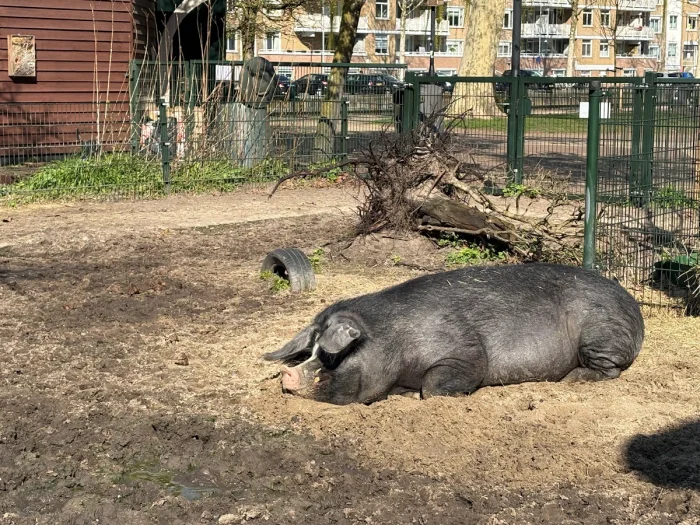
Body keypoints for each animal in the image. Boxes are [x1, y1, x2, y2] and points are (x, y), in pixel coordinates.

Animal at [262, 263, 644, 405]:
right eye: (308, 351)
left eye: (332, 356)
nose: (287, 374)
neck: (394, 341)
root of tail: (634, 306)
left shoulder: (465, 354)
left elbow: (433, 388)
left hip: (601, 333)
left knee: (610, 369)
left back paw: (572, 379)